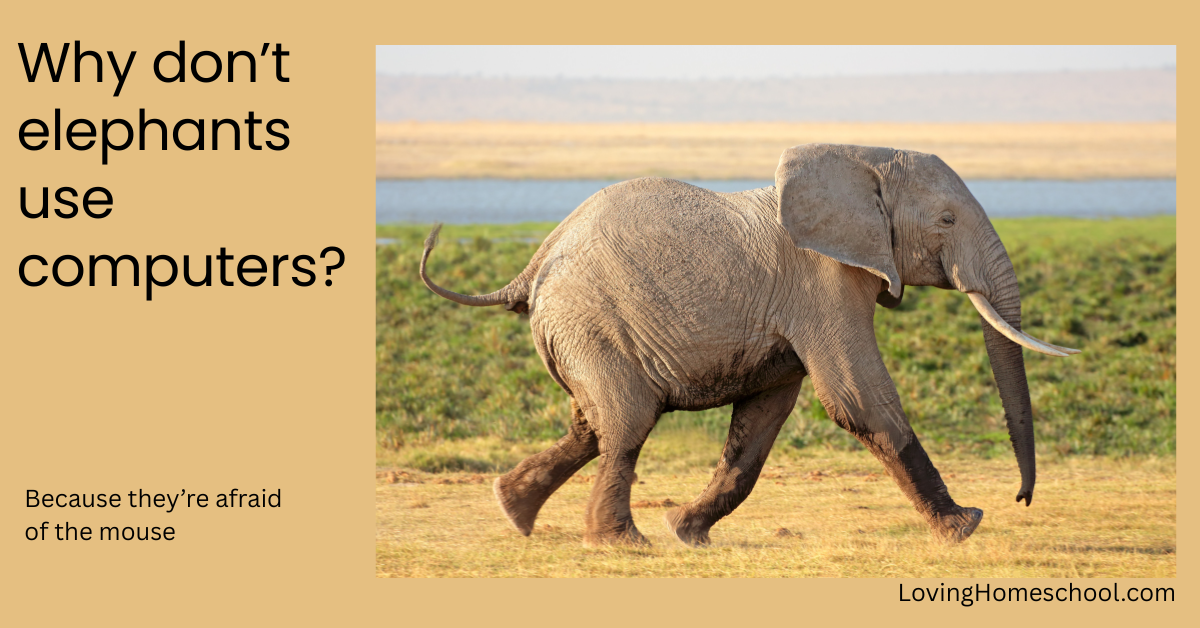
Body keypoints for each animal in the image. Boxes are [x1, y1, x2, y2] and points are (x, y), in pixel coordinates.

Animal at [419, 143, 1079, 547]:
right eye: (946, 221)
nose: (1020, 498)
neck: (861, 157)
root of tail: (531, 267)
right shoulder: (822, 282)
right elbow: (857, 399)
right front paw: (964, 527)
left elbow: (761, 424)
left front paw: (687, 532)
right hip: (591, 321)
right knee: (626, 421)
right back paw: (620, 543)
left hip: (580, 331)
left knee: (591, 423)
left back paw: (514, 511)